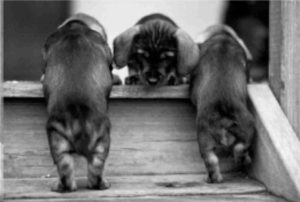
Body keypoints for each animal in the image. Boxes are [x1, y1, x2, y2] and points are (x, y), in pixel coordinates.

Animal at [190, 25, 255, 183]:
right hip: (248, 126)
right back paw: (244, 160)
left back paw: (214, 178)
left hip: (204, 138)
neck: (222, 38)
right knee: (241, 147)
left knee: (211, 160)